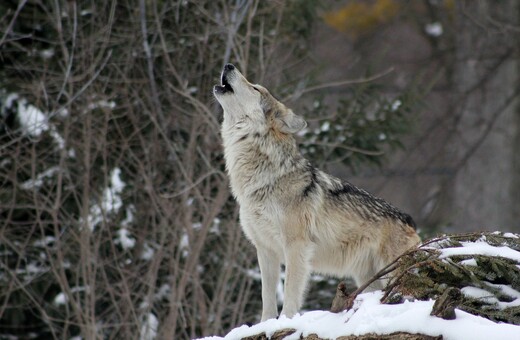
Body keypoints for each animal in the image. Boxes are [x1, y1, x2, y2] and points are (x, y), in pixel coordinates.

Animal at [213, 63, 420, 322]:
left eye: (255, 88)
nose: (228, 65)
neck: (262, 180)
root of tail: (410, 220)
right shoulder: (265, 250)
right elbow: (267, 298)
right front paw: (266, 324)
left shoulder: (296, 246)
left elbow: (290, 291)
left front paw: (286, 321)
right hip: (368, 278)